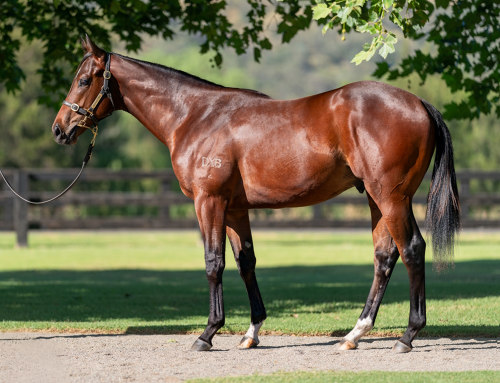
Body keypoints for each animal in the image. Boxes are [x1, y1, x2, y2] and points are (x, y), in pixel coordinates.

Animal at [52, 36, 458, 354]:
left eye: (84, 79)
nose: (59, 129)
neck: (196, 116)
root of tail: (419, 104)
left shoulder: (209, 201)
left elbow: (213, 262)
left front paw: (207, 333)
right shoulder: (234, 209)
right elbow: (245, 262)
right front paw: (251, 333)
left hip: (392, 198)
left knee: (412, 250)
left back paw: (407, 336)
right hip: (376, 199)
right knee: (384, 257)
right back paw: (354, 334)